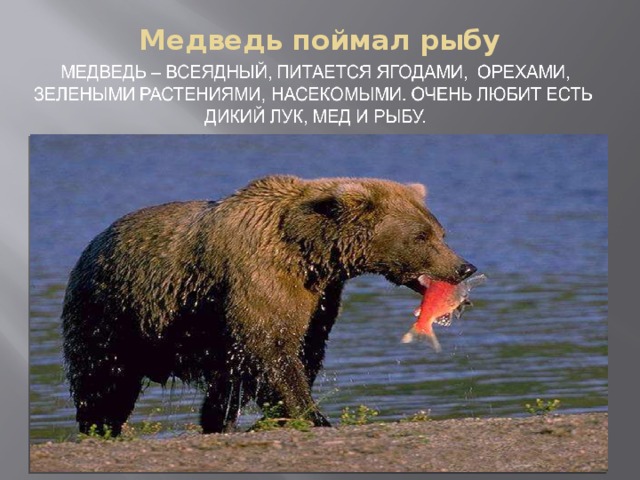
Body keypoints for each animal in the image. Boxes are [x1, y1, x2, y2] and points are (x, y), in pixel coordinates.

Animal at [61, 175, 476, 436]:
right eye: (421, 235)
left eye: (441, 232)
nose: (464, 266)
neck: (310, 253)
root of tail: (93, 242)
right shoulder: (259, 277)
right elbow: (272, 350)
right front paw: (313, 415)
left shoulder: (319, 296)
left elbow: (302, 348)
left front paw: (282, 415)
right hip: (112, 313)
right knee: (103, 379)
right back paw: (101, 427)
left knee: (223, 382)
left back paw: (216, 421)